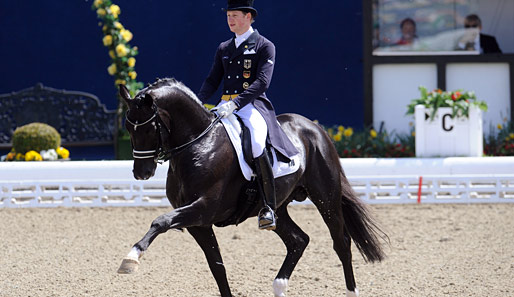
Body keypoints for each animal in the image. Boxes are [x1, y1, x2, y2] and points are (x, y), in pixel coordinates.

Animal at [116, 78, 384, 296]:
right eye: (128, 128)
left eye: (149, 128)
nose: (141, 173)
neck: (199, 145)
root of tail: (314, 127)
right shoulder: (198, 224)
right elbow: (217, 266)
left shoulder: (203, 209)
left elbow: (160, 221)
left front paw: (131, 257)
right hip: (275, 207)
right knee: (298, 240)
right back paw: (279, 287)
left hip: (326, 197)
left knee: (341, 242)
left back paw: (350, 291)